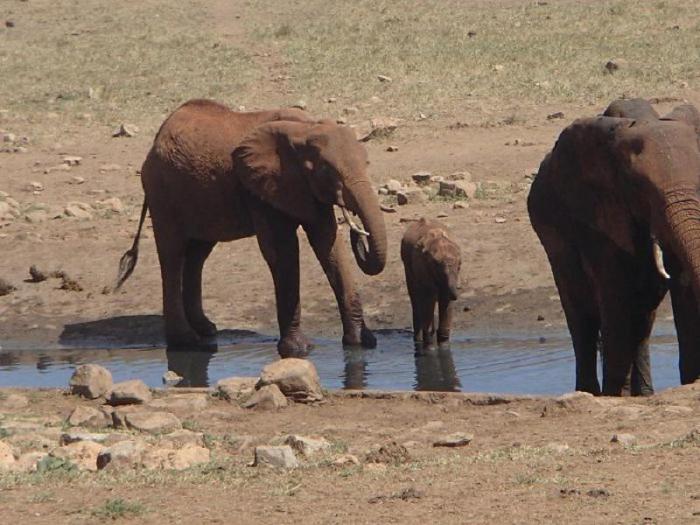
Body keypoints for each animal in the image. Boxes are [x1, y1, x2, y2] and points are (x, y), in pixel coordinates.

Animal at [115, 99, 388, 356]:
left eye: (367, 162)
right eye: (327, 170)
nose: (359, 235)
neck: (304, 129)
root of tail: (156, 140)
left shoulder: (304, 189)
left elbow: (329, 245)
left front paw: (361, 343)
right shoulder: (261, 188)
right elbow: (282, 251)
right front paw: (299, 350)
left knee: (197, 255)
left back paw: (207, 329)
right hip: (161, 191)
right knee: (172, 254)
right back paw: (186, 342)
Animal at [532, 98, 700, 396]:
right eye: (641, 189)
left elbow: (683, 289)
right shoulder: (599, 213)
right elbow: (615, 295)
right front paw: (615, 396)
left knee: (643, 317)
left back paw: (643, 394)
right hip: (550, 230)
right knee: (582, 316)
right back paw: (591, 392)